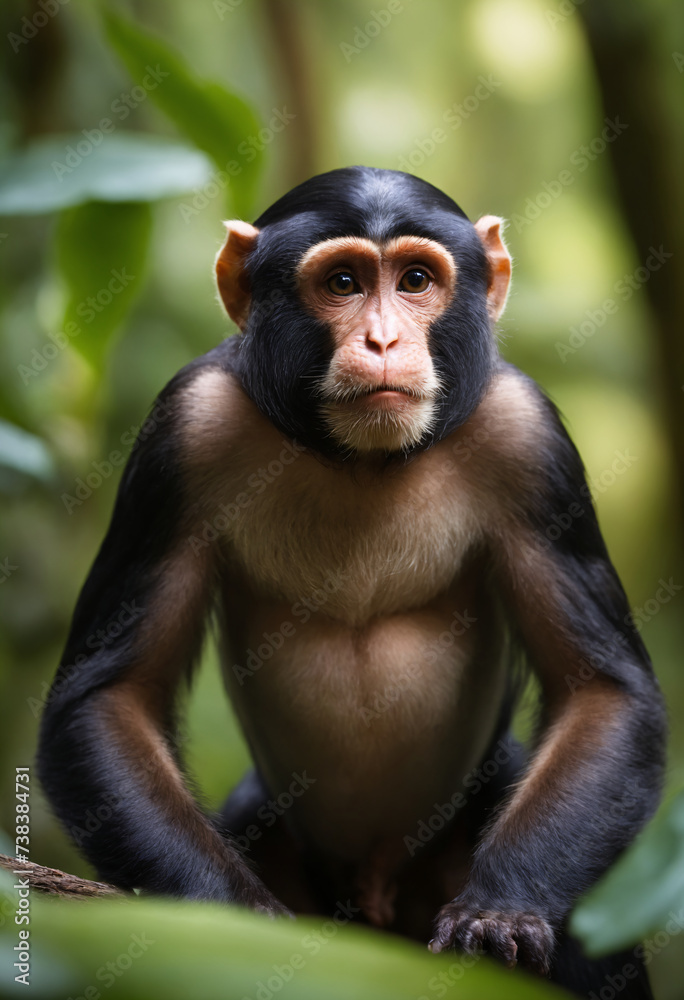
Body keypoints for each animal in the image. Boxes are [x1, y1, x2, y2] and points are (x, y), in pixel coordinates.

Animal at [38, 167, 665, 997]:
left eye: (416, 280)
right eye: (342, 283)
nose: (384, 339)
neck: (359, 461)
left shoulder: (532, 442)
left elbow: (601, 689)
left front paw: (500, 908)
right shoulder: (181, 433)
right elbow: (112, 694)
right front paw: (234, 921)